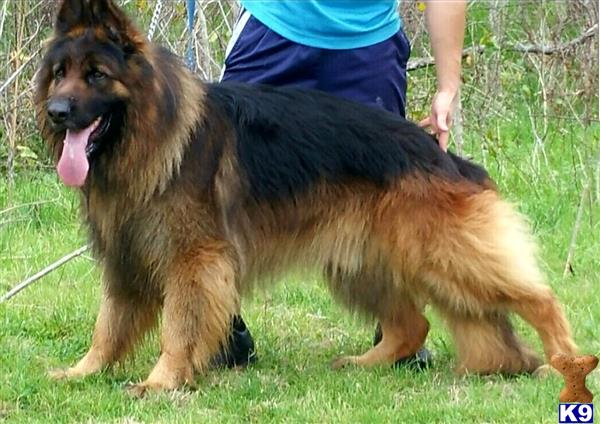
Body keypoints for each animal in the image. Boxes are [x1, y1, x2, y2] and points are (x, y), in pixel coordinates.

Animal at [34, 0, 576, 394]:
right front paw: (84, 371)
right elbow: (108, 325)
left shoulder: (194, 260)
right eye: (60, 73)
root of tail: (441, 152)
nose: (57, 111)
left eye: (97, 75)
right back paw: (365, 363)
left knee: (540, 298)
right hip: (362, 265)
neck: (153, 132)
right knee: (412, 325)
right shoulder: (126, 254)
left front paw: (162, 381)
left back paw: (565, 363)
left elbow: (178, 327)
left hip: (443, 255)